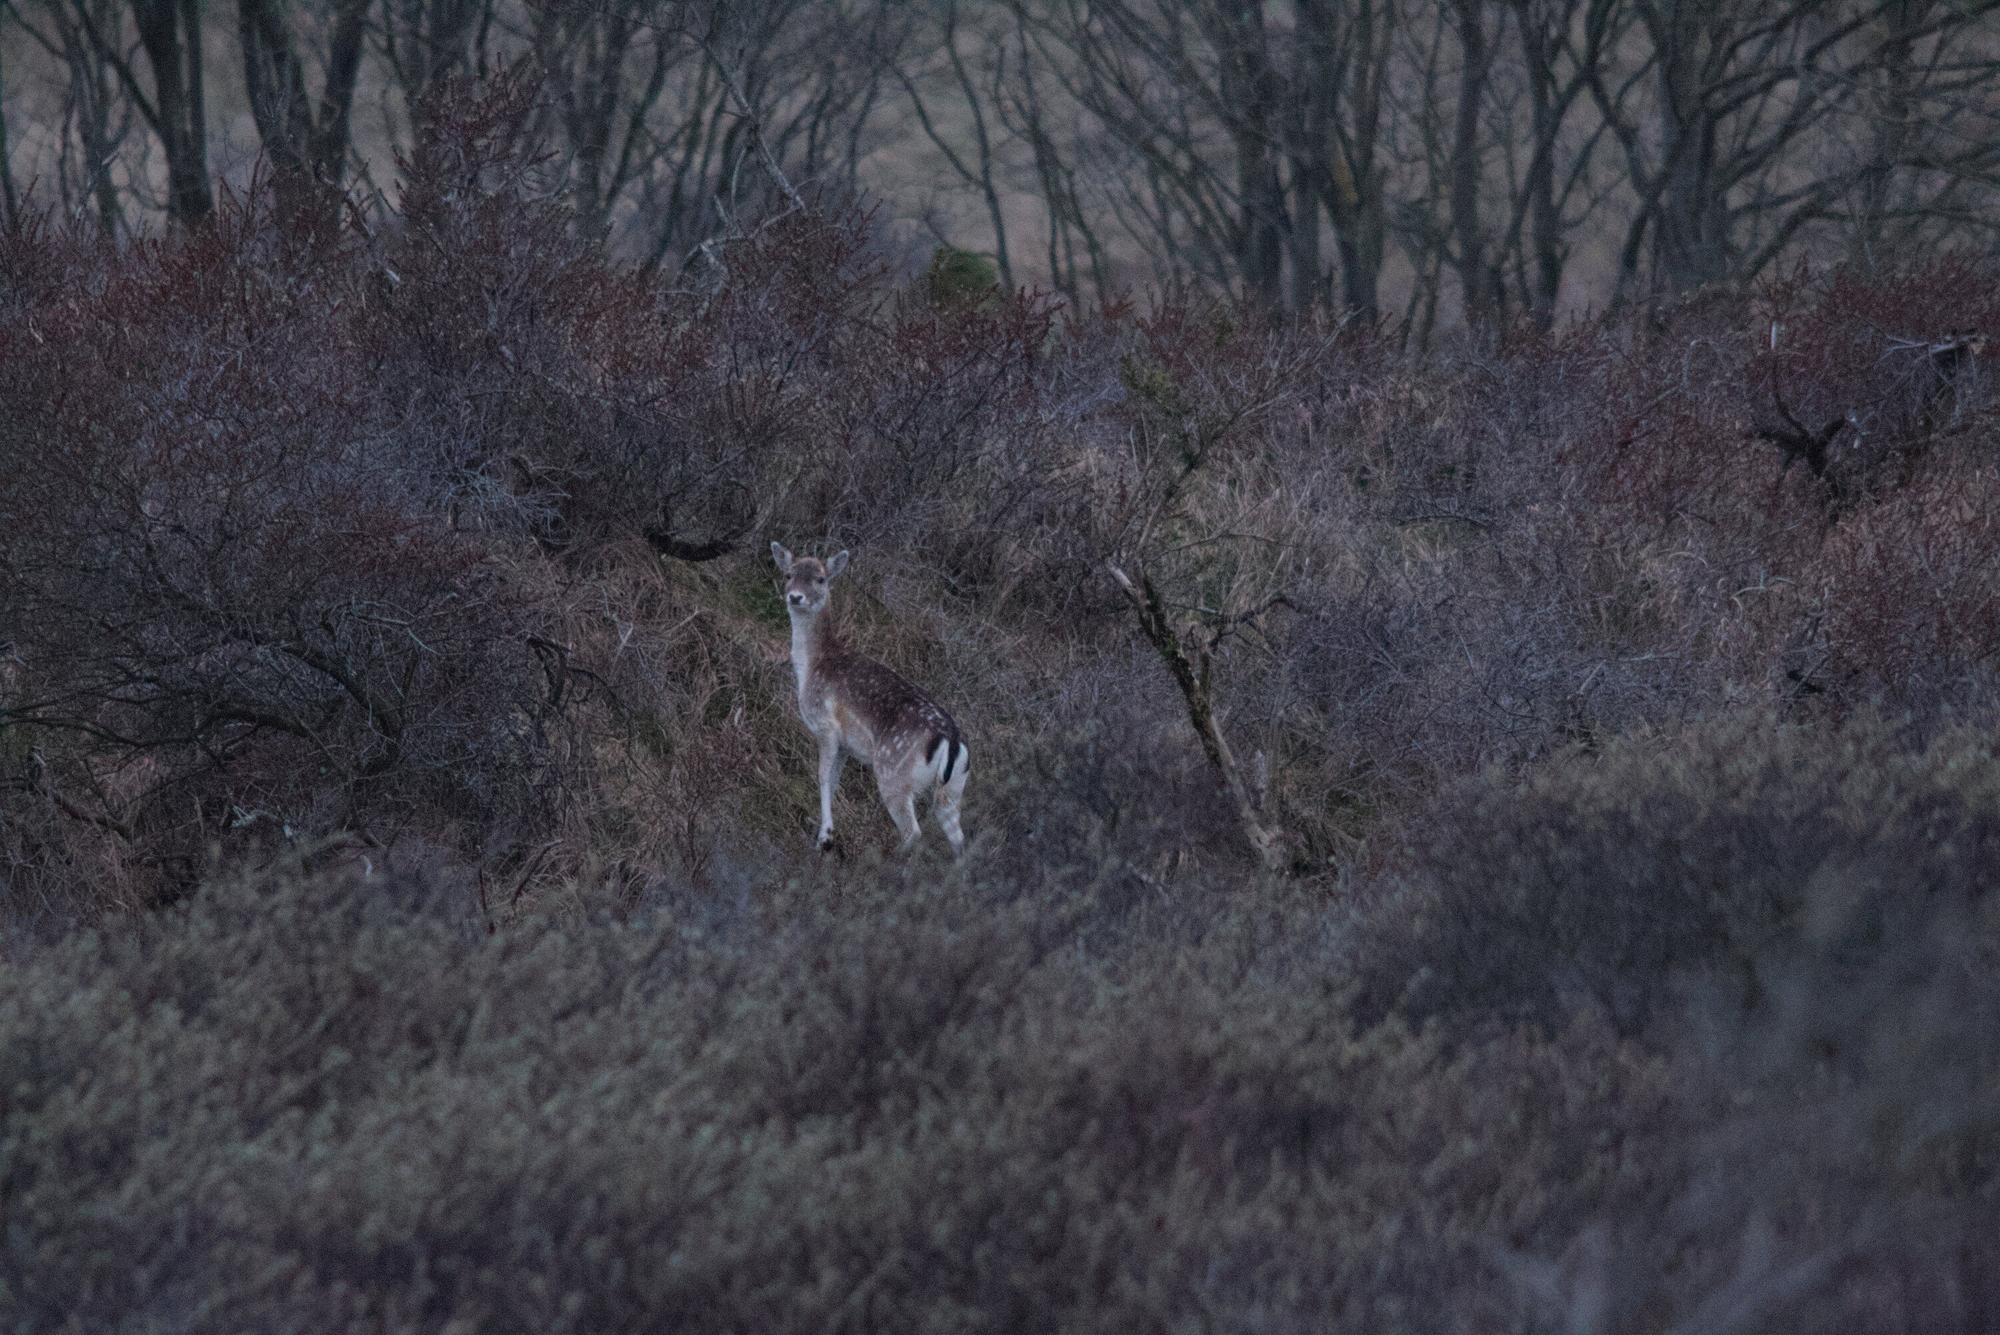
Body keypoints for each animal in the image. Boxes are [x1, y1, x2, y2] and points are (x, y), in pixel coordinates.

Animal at [771, 542, 969, 856]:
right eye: (789, 574)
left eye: (821, 579)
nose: (796, 596)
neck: (812, 666)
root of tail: (951, 739)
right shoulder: (846, 745)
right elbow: (834, 782)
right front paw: (823, 832)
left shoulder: (826, 726)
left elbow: (823, 776)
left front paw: (825, 837)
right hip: (953, 789)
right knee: (959, 840)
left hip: (892, 772)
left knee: (913, 831)